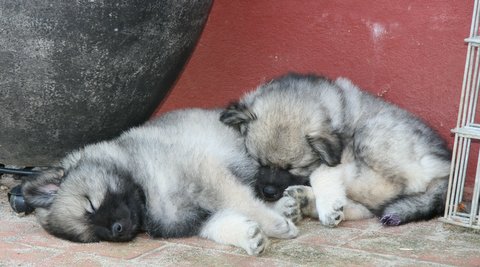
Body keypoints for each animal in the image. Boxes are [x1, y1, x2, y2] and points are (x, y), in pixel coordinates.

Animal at [24, 108, 300, 255]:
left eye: (91, 205)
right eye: (92, 236)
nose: (117, 230)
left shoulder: (207, 178)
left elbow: (241, 201)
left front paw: (275, 225)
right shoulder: (194, 217)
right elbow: (219, 222)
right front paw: (249, 235)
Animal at [220, 74, 450, 228]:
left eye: (294, 168)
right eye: (258, 161)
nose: (268, 193)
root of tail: (447, 166)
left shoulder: (341, 153)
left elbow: (322, 172)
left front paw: (329, 205)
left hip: (371, 135)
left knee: (384, 190)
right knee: (368, 208)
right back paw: (306, 199)